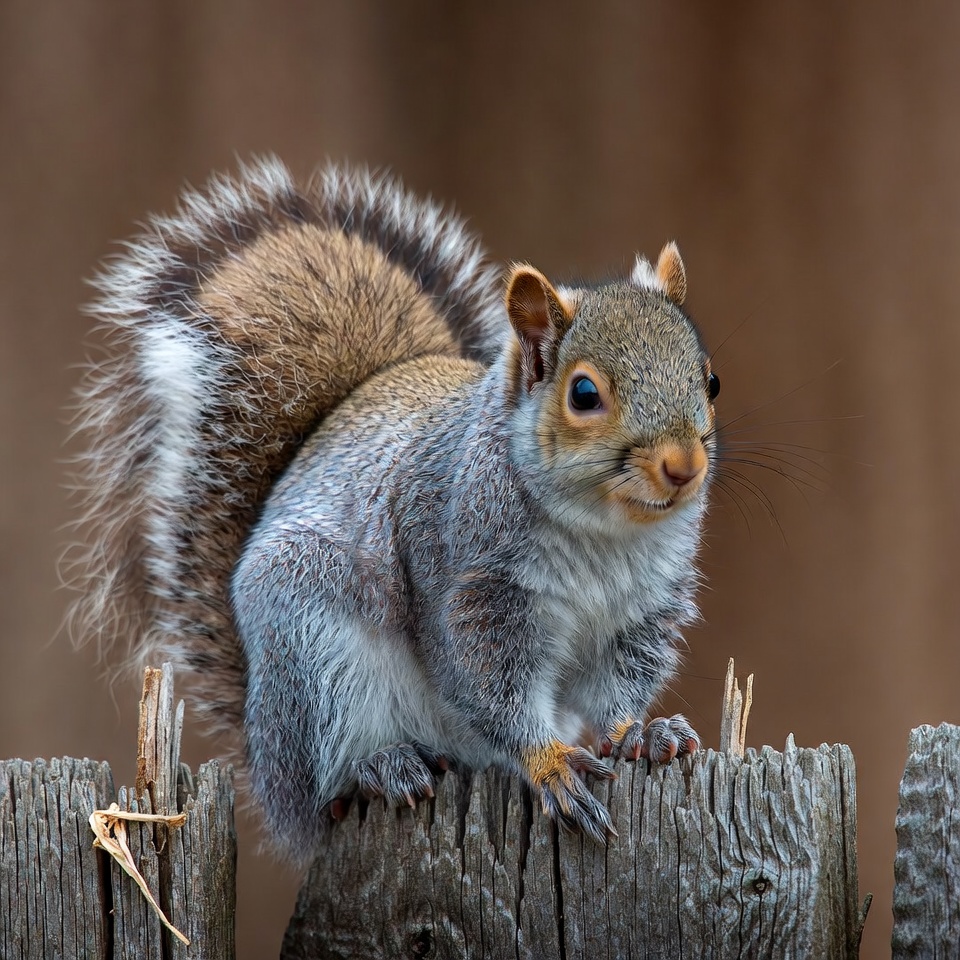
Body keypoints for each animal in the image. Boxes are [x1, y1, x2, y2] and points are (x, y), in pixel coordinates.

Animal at [73, 156, 718, 858]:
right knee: (328, 784)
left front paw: (640, 733)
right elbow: (488, 687)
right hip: (313, 650)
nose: (684, 467)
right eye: (583, 394)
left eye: (710, 380)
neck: (606, 532)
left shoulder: (643, 613)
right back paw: (379, 767)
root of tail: (265, 751)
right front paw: (550, 765)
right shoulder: (467, 587)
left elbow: (616, 691)